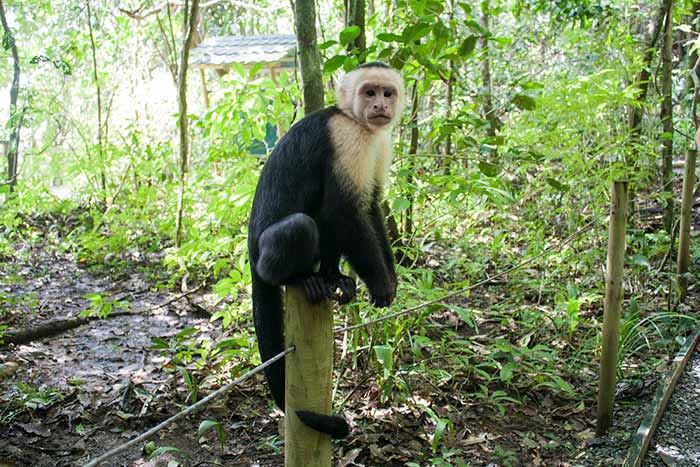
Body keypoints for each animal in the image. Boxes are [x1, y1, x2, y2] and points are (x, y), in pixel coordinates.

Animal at [247, 62, 405, 439]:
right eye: (369, 92)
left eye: (387, 92)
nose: (380, 106)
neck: (355, 120)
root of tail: (249, 253)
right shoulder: (346, 137)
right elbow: (344, 210)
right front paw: (380, 283)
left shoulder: (379, 141)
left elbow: (371, 205)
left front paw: (389, 279)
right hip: (264, 256)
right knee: (305, 224)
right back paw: (299, 279)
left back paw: (333, 277)